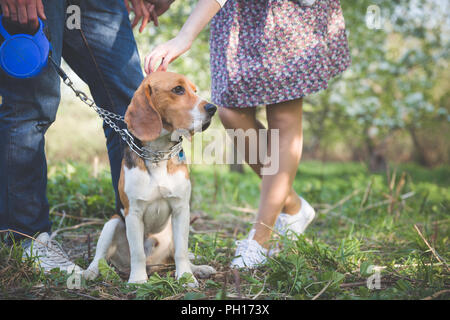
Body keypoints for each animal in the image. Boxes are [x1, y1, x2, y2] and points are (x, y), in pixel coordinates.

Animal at [85, 72, 218, 284]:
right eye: (178, 89)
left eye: (195, 90)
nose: (213, 108)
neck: (158, 154)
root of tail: (155, 264)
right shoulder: (133, 213)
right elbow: (137, 252)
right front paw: (138, 280)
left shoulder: (181, 209)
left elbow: (181, 251)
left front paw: (187, 278)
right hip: (112, 223)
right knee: (100, 256)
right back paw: (90, 271)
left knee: (177, 253)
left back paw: (198, 269)